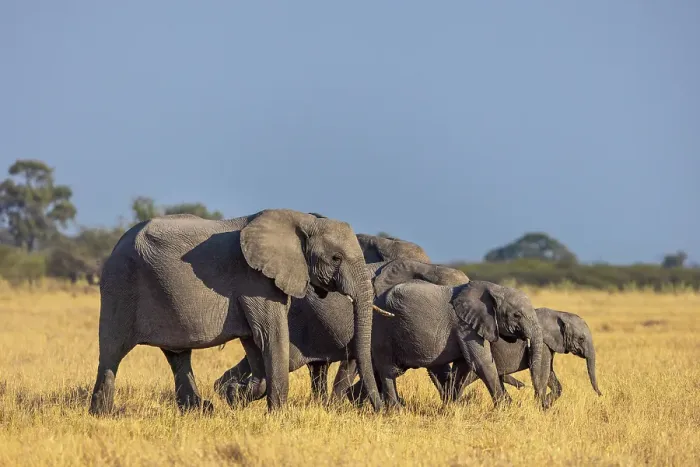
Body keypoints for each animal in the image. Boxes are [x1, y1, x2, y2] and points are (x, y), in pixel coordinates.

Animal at [88, 209, 387, 415]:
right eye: (336, 258)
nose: (381, 410)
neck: (301, 219)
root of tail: (118, 242)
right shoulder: (255, 280)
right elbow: (270, 335)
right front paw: (277, 416)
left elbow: (255, 342)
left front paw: (236, 394)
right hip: (121, 283)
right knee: (113, 350)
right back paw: (102, 413)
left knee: (178, 355)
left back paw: (201, 410)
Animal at [347, 260, 549, 408]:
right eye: (517, 315)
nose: (539, 402)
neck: (493, 288)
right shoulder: (464, 325)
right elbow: (481, 362)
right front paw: (506, 408)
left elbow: (463, 366)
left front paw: (452, 406)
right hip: (383, 328)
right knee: (388, 369)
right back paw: (394, 409)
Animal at [437, 307, 602, 407]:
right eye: (581, 339)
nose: (601, 395)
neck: (559, 314)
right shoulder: (543, 342)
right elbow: (543, 371)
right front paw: (541, 405)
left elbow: (549, 373)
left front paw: (546, 404)